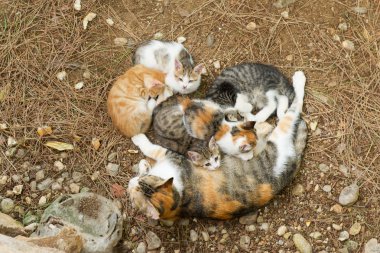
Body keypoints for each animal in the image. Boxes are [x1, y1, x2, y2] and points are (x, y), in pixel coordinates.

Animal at [129, 70, 308, 219]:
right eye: (133, 193)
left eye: (137, 188)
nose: (131, 182)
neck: (179, 197)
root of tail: (292, 163)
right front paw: (144, 163)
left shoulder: (173, 156)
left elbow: (152, 148)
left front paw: (138, 141)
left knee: (294, 106)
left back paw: (298, 80)